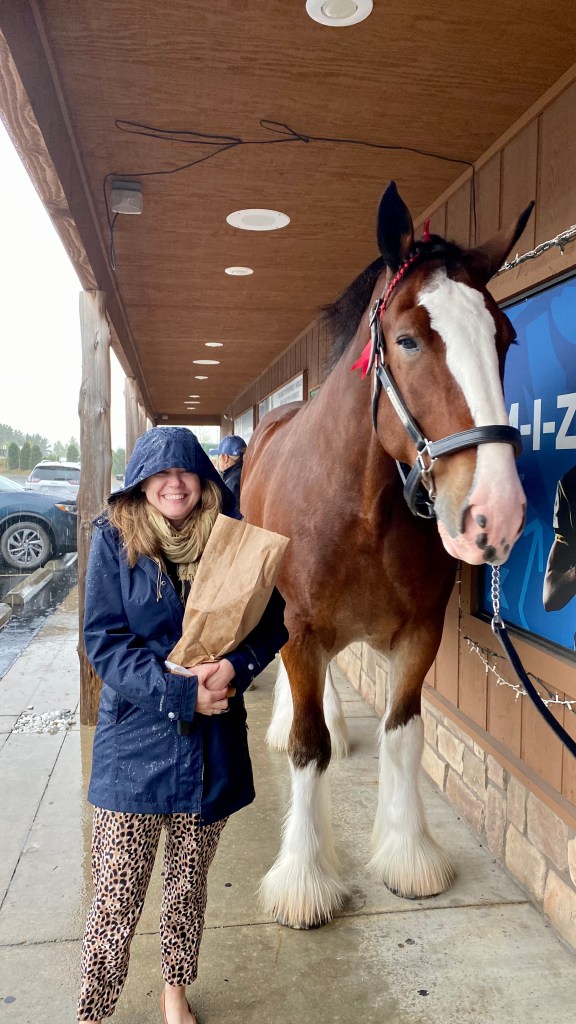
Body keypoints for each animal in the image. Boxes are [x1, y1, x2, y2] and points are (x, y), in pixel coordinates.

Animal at [240, 181, 533, 930]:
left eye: (505, 337)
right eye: (406, 340)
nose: (496, 510)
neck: (362, 509)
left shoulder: (419, 635)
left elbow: (404, 734)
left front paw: (408, 855)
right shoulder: (301, 628)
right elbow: (308, 748)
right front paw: (305, 878)